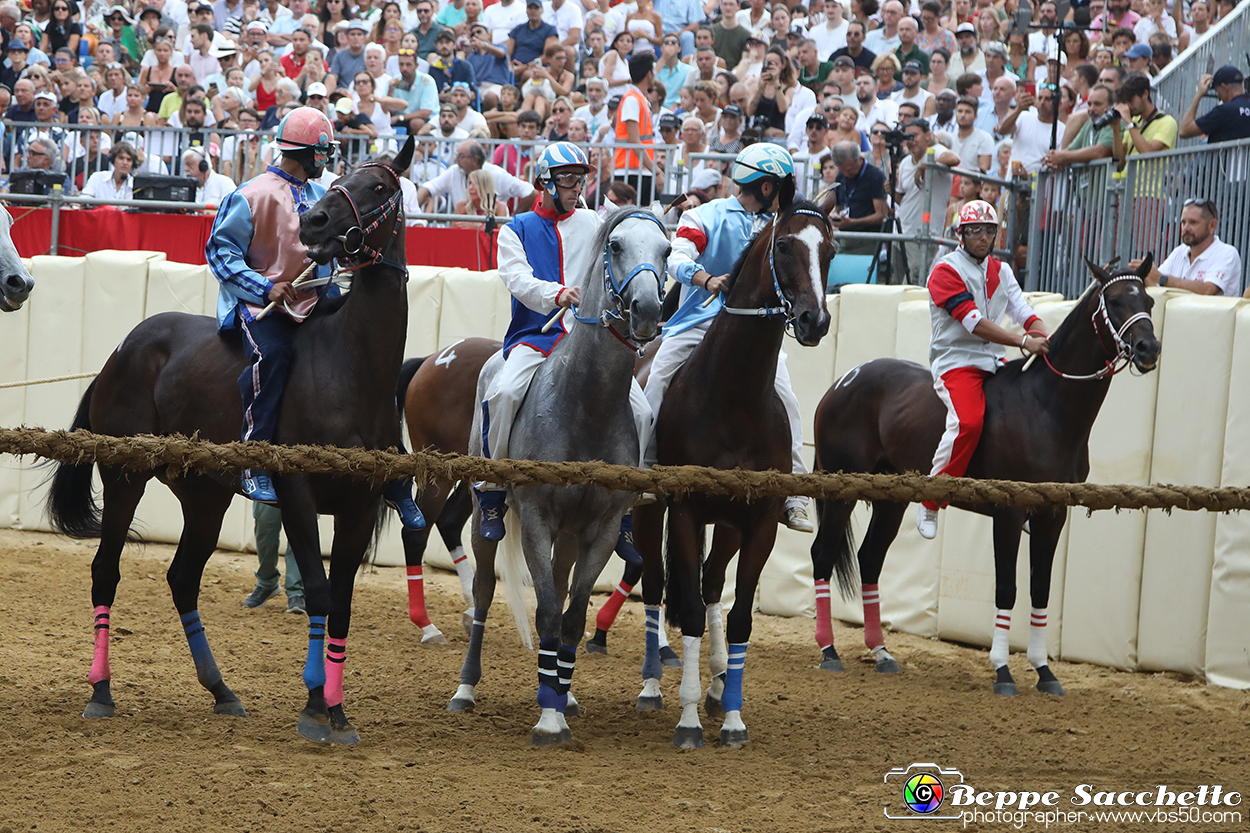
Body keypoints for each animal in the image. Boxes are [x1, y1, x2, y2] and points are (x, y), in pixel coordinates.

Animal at [48, 137, 420, 745]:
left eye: (377, 186)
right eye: (339, 177)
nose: (314, 221)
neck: (352, 367)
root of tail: (122, 350)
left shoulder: (362, 504)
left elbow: (341, 602)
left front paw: (338, 710)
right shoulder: (297, 492)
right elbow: (319, 590)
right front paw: (314, 704)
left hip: (206, 494)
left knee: (182, 578)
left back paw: (221, 690)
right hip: (126, 476)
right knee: (107, 571)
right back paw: (100, 691)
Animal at [445, 208, 670, 745]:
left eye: (667, 250)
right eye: (615, 246)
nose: (647, 310)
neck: (586, 403)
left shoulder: (601, 529)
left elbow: (572, 615)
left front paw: (559, 699)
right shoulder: (536, 518)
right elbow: (546, 610)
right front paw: (548, 719)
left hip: (571, 535)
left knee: (563, 587)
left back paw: (560, 691)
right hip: (487, 520)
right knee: (483, 591)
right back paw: (465, 688)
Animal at [635, 197, 840, 750]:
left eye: (832, 250)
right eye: (785, 245)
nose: (814, 321)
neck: (733, 399)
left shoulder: (759, 522)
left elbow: (740, 615)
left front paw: (730, 716)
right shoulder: (685, 511)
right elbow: (684, 609)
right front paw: (687, 721)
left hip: (726, 525)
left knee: (709, 586)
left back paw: (718, 682)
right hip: (649, 516)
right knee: (657, 585)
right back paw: (652, 688)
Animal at [810, 255, 1160, 695]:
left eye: (1148, 298)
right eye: (1113, 301)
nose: (1149, 348)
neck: (1046, 406)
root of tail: (844, 381)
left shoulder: (1053, 515)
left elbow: (1040, 589)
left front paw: (1044, 672)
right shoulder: (1008, 516)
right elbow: (1007, 588)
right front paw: (1003, 670)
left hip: (893, 499)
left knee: (870, 559)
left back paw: (882, 652)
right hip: (841, 491)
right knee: (822, 554)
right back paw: (829, 651)